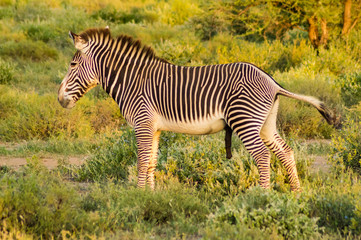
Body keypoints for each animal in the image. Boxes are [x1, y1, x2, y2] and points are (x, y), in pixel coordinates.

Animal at [57, 28, 336, 192]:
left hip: (244, 121)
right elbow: (151, 162)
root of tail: (271, 81)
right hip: (266, 123)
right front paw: (150, 196)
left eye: (72, 64)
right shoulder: (154, 128)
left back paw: (262, 197)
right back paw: (295, 195)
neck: (132, 81)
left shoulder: (142, 123)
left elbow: (141, 161)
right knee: (285, 152)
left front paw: (138, 195)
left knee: (263, 156)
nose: (60, 99)